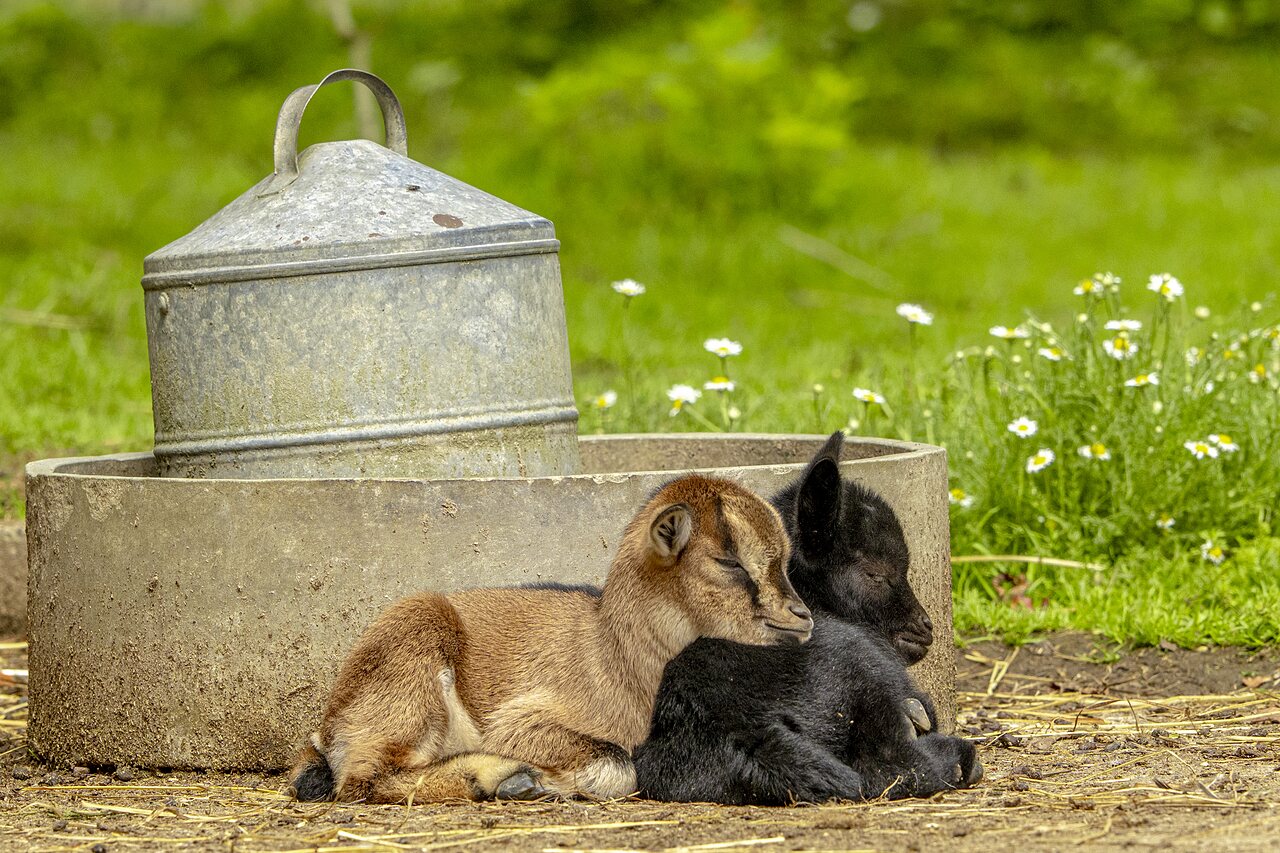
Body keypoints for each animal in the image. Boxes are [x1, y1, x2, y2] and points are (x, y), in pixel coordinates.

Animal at [290, 474, 813, 803]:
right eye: (728, 561)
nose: (802, 617)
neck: (611, 659)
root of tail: (330, 723)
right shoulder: (520, 722)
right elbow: (619, 764)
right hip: (412, 671)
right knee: (362, 780)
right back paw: (500, 778)